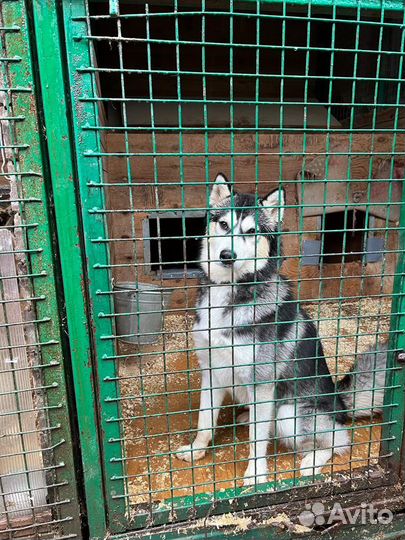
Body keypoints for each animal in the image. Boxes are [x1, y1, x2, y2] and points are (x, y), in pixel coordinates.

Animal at [175, 174, 386, 486]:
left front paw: (255, 473)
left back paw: (311, 462)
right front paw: (196, 449)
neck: (231, 294)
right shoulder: (211, 371)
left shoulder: (262, 384)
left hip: (290, 413)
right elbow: (204, 420)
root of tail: (340, 403)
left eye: (251, 232)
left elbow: (256, 440)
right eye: (223, 224)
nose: (227, 255)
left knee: (338, 440)